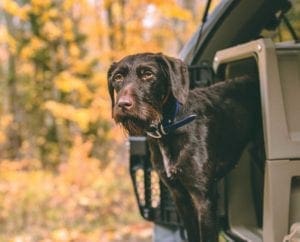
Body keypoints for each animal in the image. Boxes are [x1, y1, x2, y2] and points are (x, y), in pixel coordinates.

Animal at [107, 53, 260, 242]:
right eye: (117, 77)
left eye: (148, 74)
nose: (122, 104)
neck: (168, 129)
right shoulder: (180, 196)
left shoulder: (203, 198)